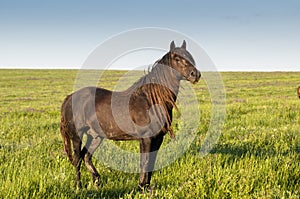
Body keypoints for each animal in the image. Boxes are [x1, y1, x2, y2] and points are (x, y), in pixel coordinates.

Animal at [59, 40, 200, 190]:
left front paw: (147, 187)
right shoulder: (146, 138)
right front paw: (141, 187)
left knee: (86, 157)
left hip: (95, 136)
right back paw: (79, 186)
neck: (150, 100)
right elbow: (144, 162)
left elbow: (151, 163)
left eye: (190, 57)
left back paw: (97, 181)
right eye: (177, 59)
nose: (195, 74)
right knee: (77, 159)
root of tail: (70, 97)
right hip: (77, 135)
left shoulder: (158, 139)